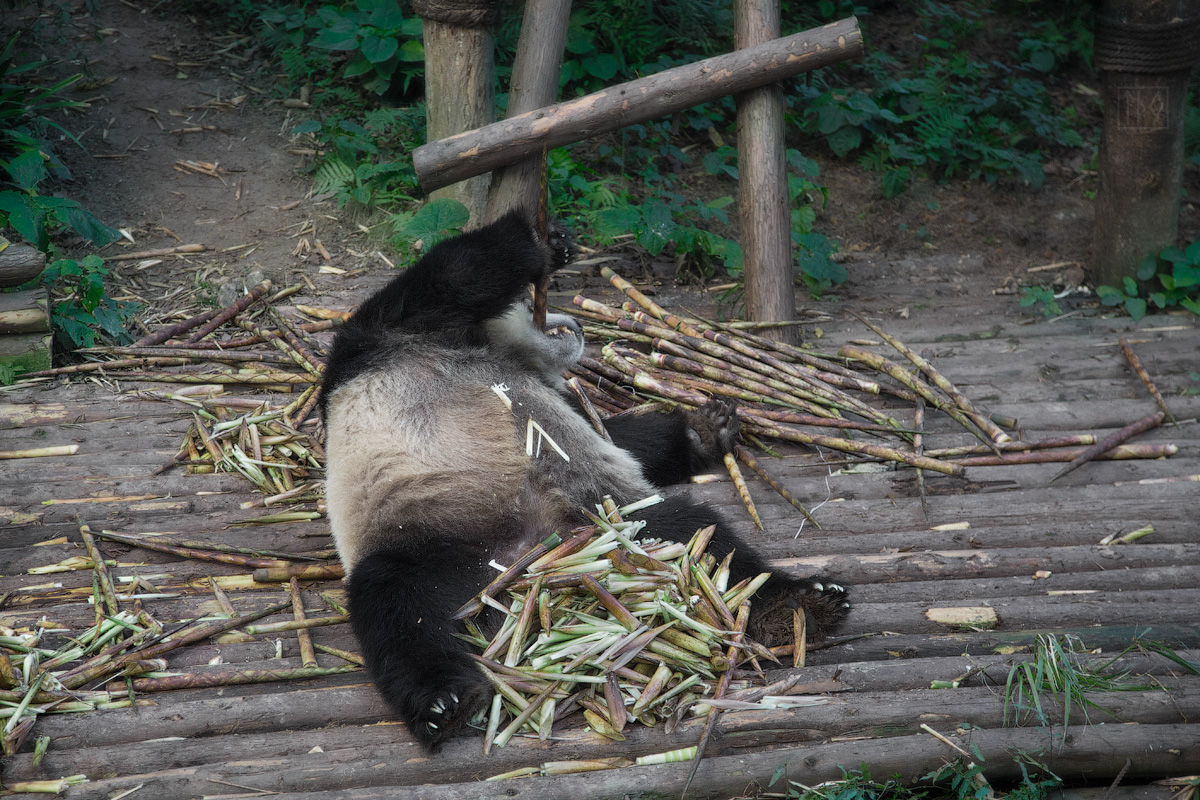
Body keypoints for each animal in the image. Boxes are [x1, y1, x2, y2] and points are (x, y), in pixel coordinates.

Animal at [319, 211, 854, 753]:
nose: (574, 324)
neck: (488, 347)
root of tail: (526, 568)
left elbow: (619, 437)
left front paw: (704, 429)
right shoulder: (390, 335)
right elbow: (458, 273)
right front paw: (547, 242)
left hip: (605, 525)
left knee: (698, 539)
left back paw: (796, 606)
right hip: (429, 546)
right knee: (394, 608)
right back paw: (441, 704)